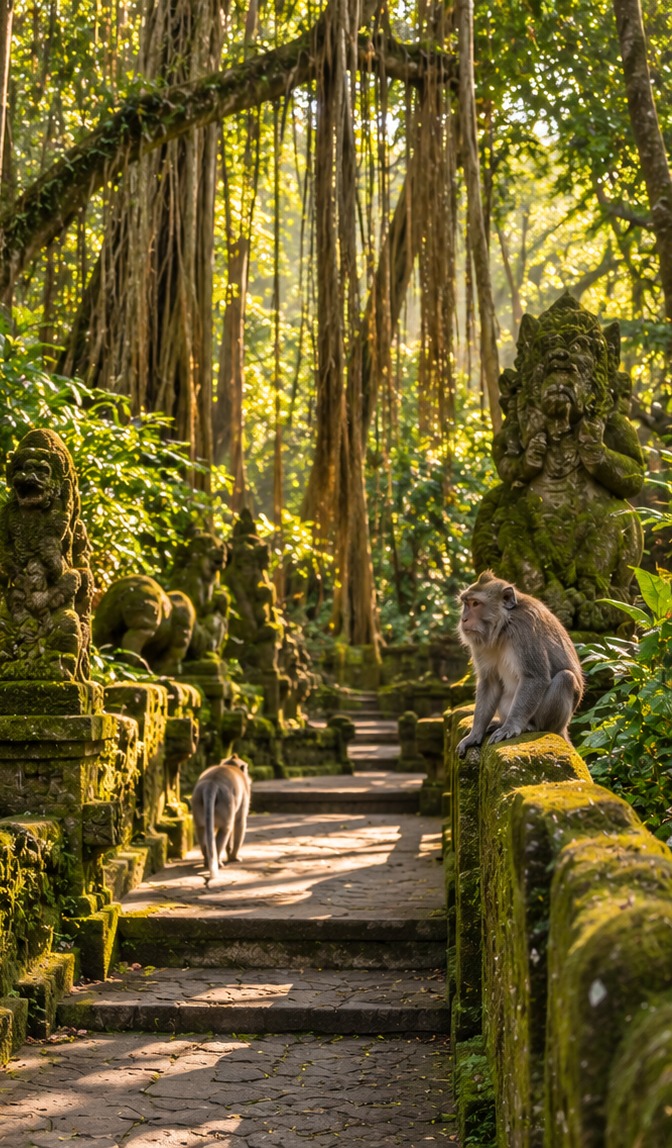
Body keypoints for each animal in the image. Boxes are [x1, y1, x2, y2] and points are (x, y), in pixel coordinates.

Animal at [456, 570, 584, 757]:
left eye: (475, 603)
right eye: (466, 603)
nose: (463, 619)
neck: (504, 626)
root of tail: (563, 728)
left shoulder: (525, 629)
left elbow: (535, 677)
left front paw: (511, 726)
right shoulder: (480, 643)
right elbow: (489, 681)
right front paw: (474, 735)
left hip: (554, 722)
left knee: (565, 678)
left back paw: (532, 726)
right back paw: (498, 723)